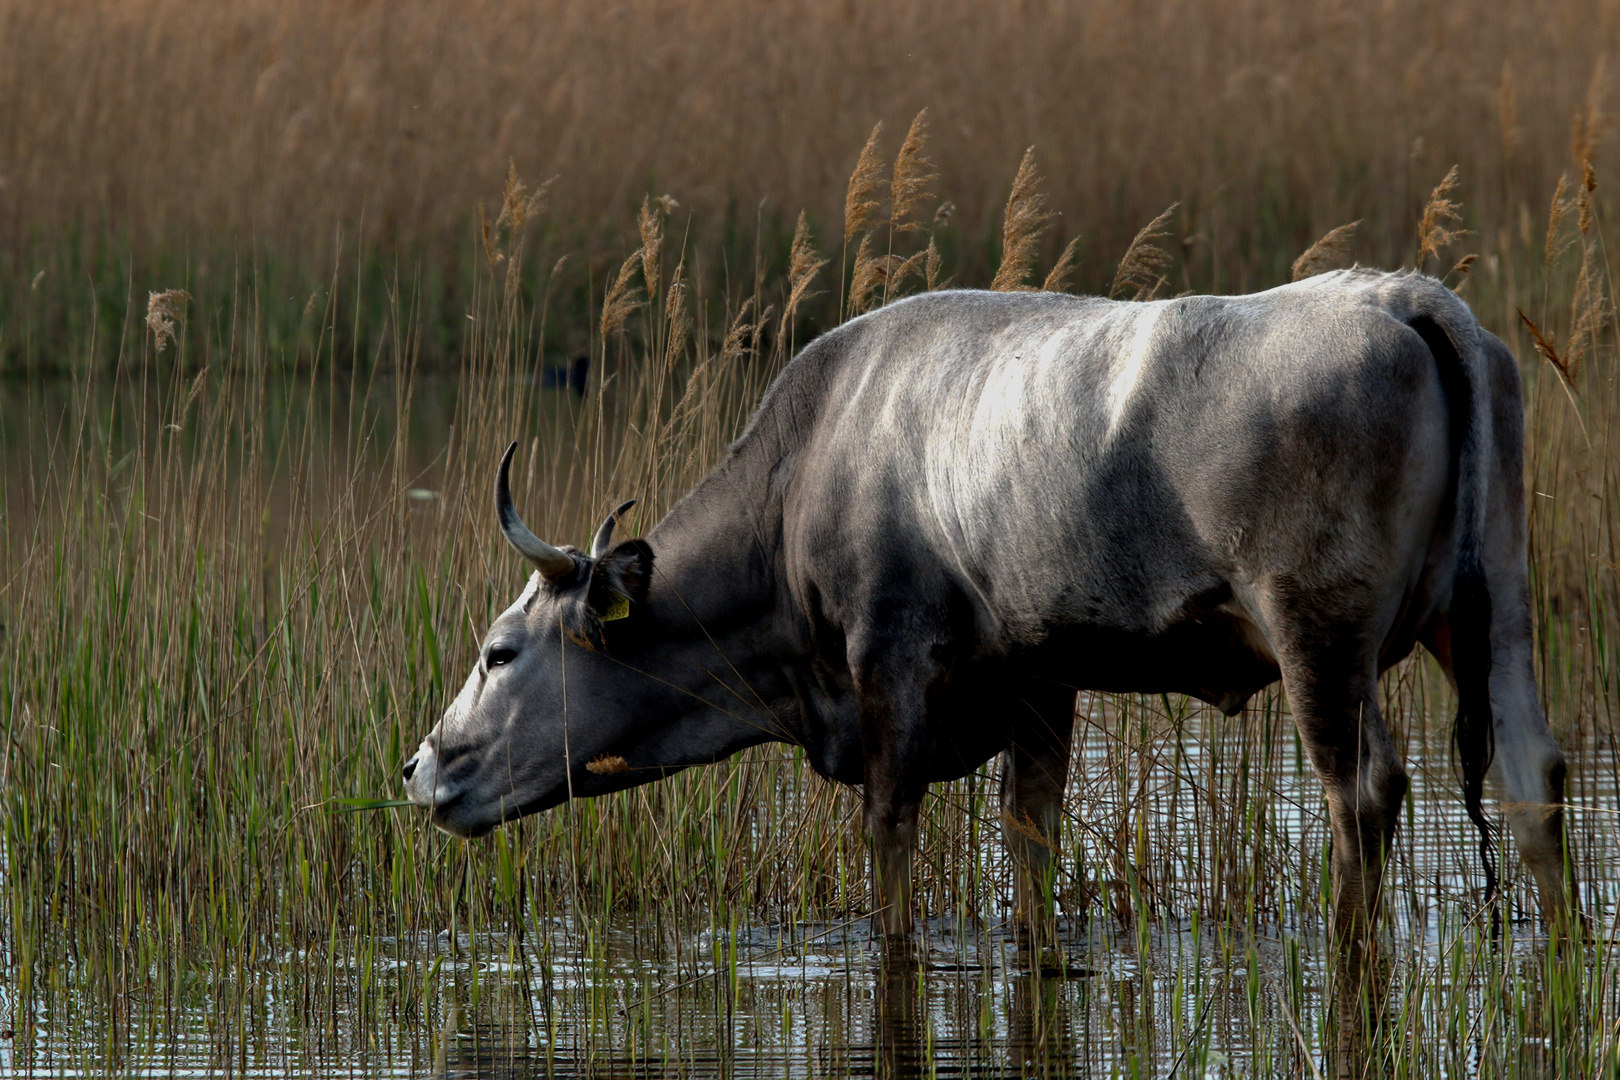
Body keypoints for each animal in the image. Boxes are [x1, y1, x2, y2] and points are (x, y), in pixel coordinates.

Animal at [401, 268, 1568, 945]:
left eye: (499, 652)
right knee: (1532, 780)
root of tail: (1397, 295)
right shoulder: (1040, 676)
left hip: (1319, 638)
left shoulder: (892, 661)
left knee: (1362, 791)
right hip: (1497, 613)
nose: (418, 765)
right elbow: (1030, 835)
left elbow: (890, 838)